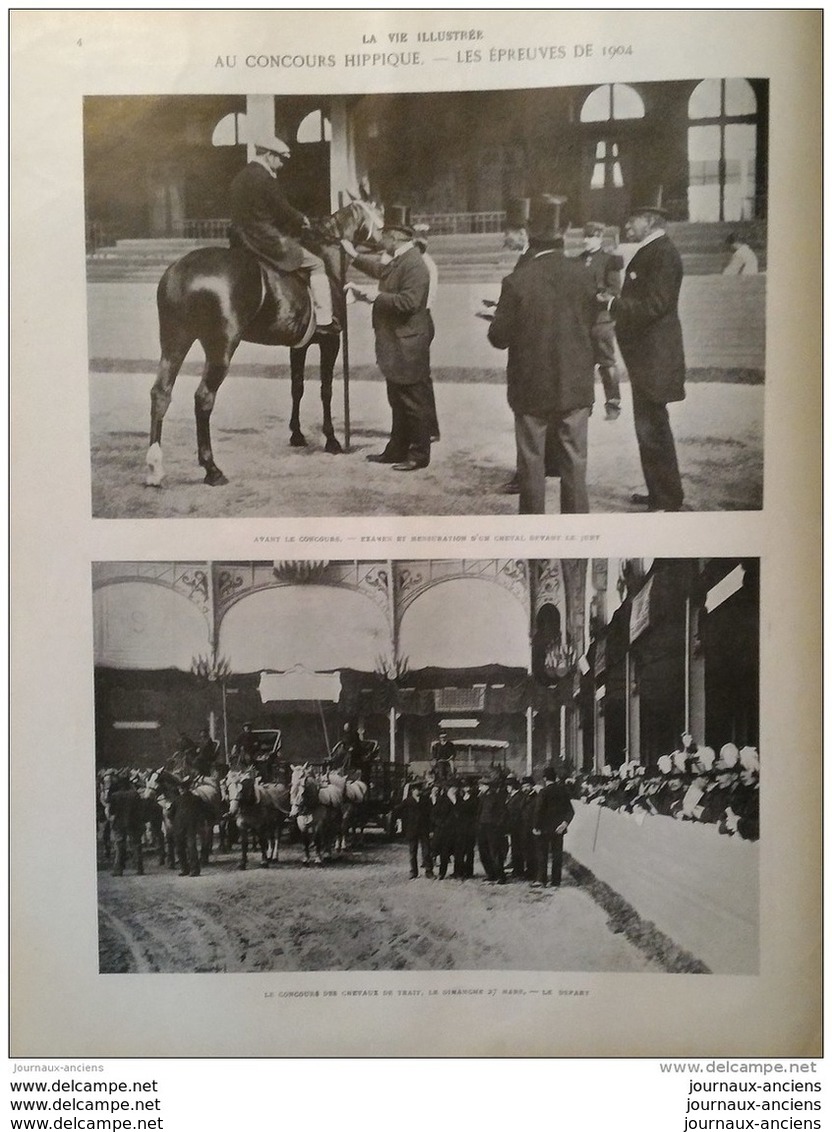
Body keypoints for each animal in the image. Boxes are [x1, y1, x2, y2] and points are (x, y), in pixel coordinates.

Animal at [146, 196, 384, 489]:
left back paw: (154, 468)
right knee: (203, 398)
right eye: (379, 215)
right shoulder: (331, 342)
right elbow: (325, 390)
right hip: (220, 349)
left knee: (161, 393)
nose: (385, 242)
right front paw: (332, 440)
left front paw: (297, 434)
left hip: (175, 342)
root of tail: (182, 272)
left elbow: (297, 387)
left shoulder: (299, 346)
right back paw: (212, 468)